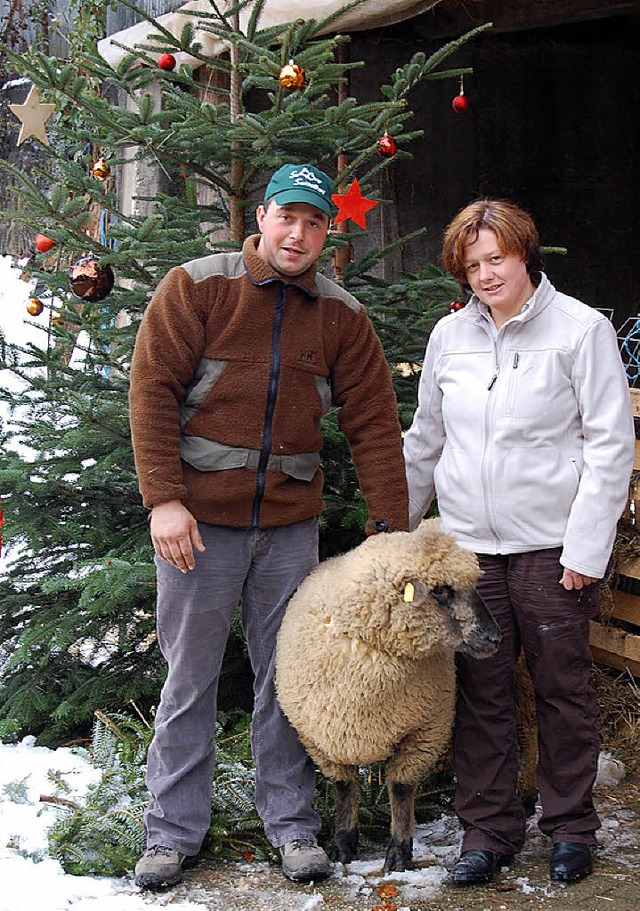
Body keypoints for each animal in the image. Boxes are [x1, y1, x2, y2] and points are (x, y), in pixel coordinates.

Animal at [272, 516, 502, 872]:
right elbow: (344, 786)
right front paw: (343, 843)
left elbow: (401, 787)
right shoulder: (318, 737)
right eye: (441, 590)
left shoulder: (425, 731)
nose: (495, 637)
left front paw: (399, 851)